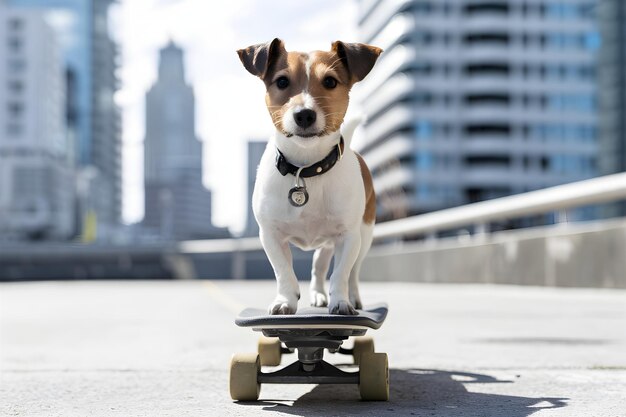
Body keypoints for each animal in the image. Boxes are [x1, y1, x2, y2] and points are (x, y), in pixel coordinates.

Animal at [238, 39, 380, 314]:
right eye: (282, 81)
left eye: (330, 81)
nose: (304, 114)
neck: (306, 169)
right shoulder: (270, 235)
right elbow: (283, 271)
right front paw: (285, 300)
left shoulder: (349, 236)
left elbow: (341, 273)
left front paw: (341, 301)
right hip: (327, 243)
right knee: (318, 265)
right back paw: (318, 295)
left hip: (364, 234)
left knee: (353, 271)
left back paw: (352, 297)